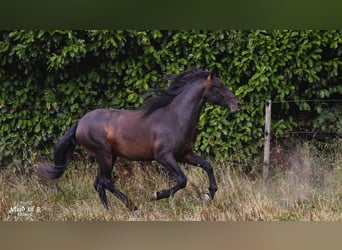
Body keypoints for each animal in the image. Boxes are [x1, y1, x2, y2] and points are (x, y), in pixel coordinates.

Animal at [38, 69, 242, 211]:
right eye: (218, 86)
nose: (238, 104)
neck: (176, 118)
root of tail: (80, 123)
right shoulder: (164, 157)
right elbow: (182, 180)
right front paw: (156, 195)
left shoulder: (185, 154)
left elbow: (208, 166)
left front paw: (209, 195)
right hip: (104, 154)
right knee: (106, 182)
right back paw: (133, 207)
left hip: (108, 156)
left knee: (99, 183)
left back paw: (111, 211)